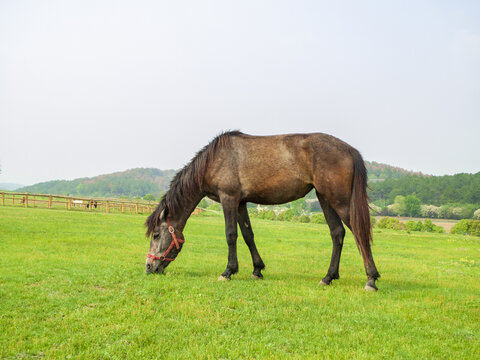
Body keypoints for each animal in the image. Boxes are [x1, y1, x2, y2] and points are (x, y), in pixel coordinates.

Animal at [144, 131, 380, 292]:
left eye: (156, 235)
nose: (148, 267)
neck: (215, 160)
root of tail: (349, 150)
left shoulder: (228, 199)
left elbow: (231, 235)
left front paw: (228, 271)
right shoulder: (240, 202)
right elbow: (248, 235)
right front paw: (257, 270)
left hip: (338, 200)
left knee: (359, 233)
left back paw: (371, 280)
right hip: (325, 198)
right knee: (337, 233)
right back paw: (328, 277)